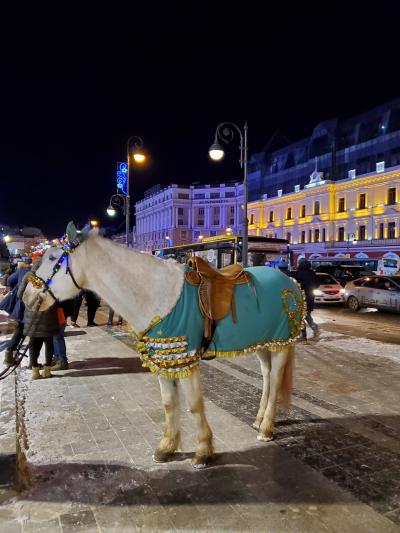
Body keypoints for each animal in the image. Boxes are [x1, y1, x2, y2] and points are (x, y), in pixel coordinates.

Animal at [23, 228, 302, 466]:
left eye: (52, 258)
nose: (25, 296)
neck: (157, 294)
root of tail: (288, 280)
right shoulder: (165, 358)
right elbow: (169, 404)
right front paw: (167, 447)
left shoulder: (186, 359)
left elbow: (195, 404)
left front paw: (203, 451)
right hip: (264, 343)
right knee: (266, 377)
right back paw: (258, 419)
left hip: (281, 344)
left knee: (275, 381)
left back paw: (266, 428)